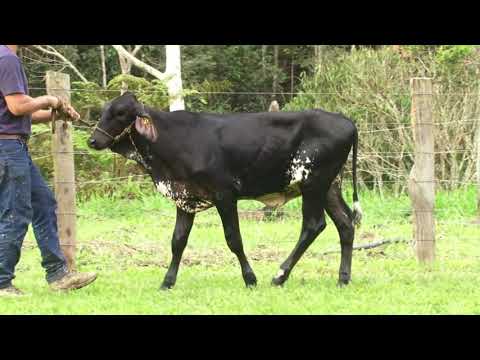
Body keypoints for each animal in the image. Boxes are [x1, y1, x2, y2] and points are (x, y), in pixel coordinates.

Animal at [89, 93, 360, 290]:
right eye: (103, 110)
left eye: (120, 113)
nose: (92, 140)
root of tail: (348, 122)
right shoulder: (185, 197)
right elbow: (178, 241)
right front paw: (167, 282)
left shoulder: (225, 195)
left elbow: (233, 239)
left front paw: (250, 278)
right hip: (329, 187)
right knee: (345, 224)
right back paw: (343, 278)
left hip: (314, 184)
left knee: (313, 225)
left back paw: (280, 275)